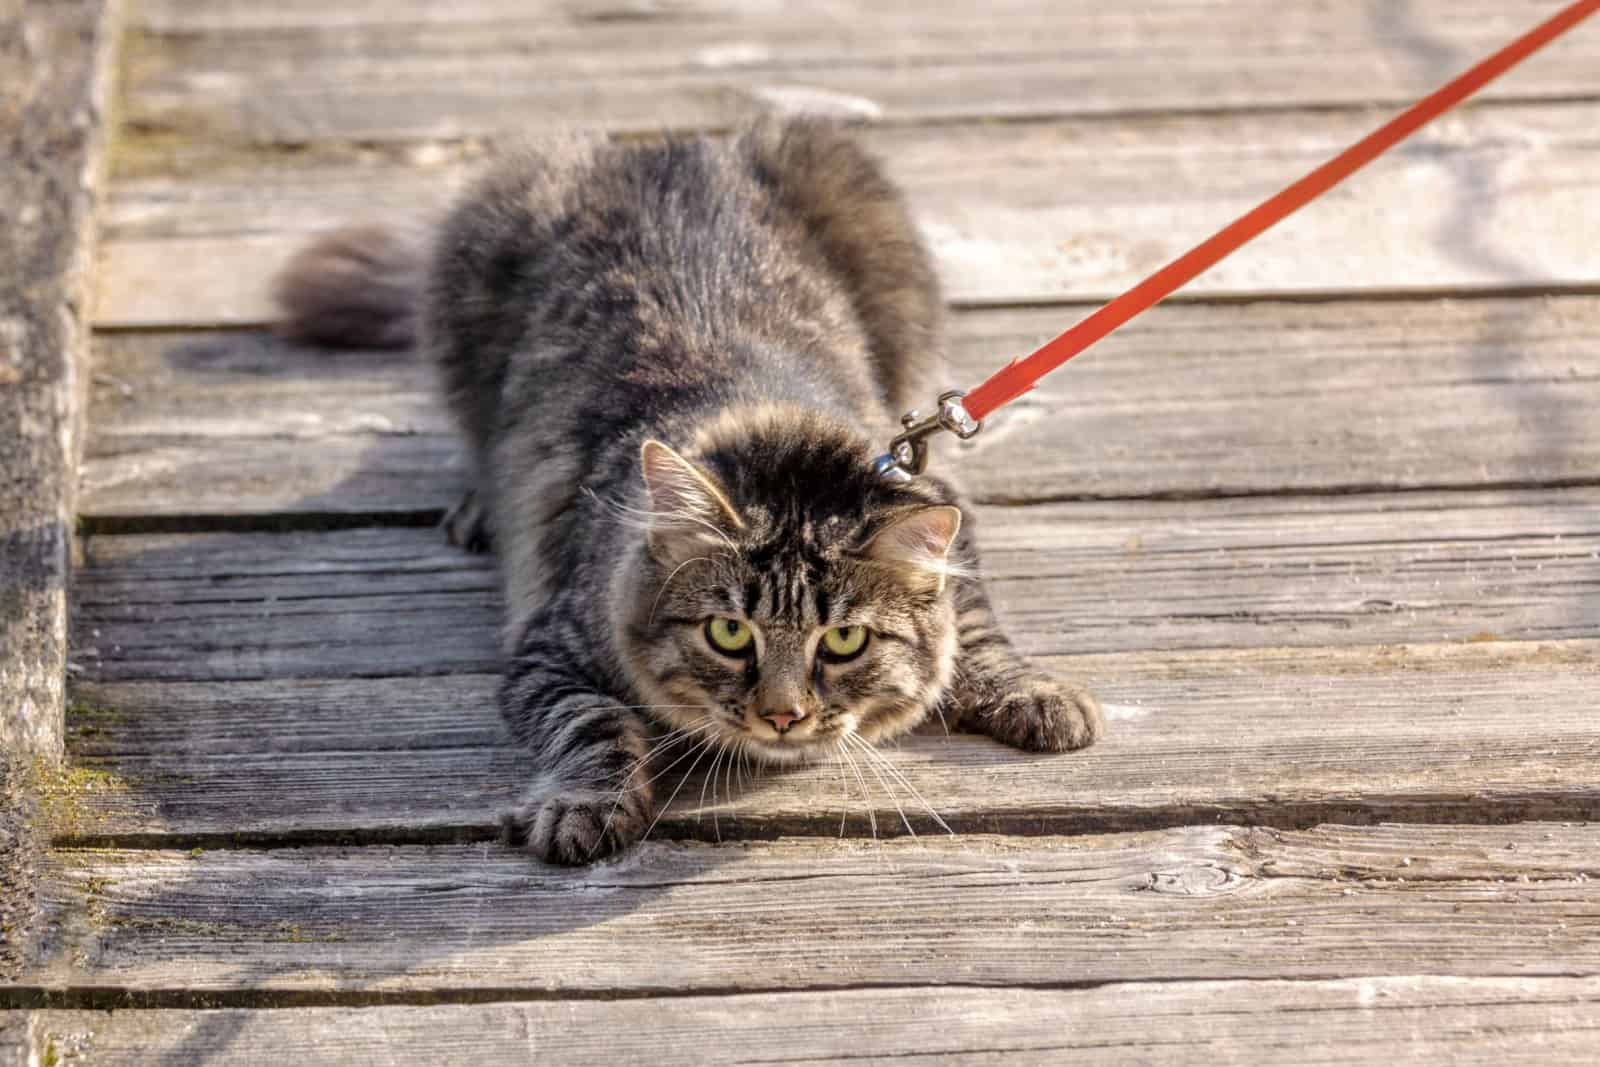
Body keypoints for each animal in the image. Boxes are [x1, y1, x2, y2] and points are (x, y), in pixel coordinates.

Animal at [275, 116, 1100, 870]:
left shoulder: (934, 488)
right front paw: (585, 805)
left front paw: (1031, 691)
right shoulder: (551, 649)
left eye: (844, 641)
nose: (782, 716)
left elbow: (978, 622)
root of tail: (671, 142)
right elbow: (594, 725)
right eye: (728, 634)